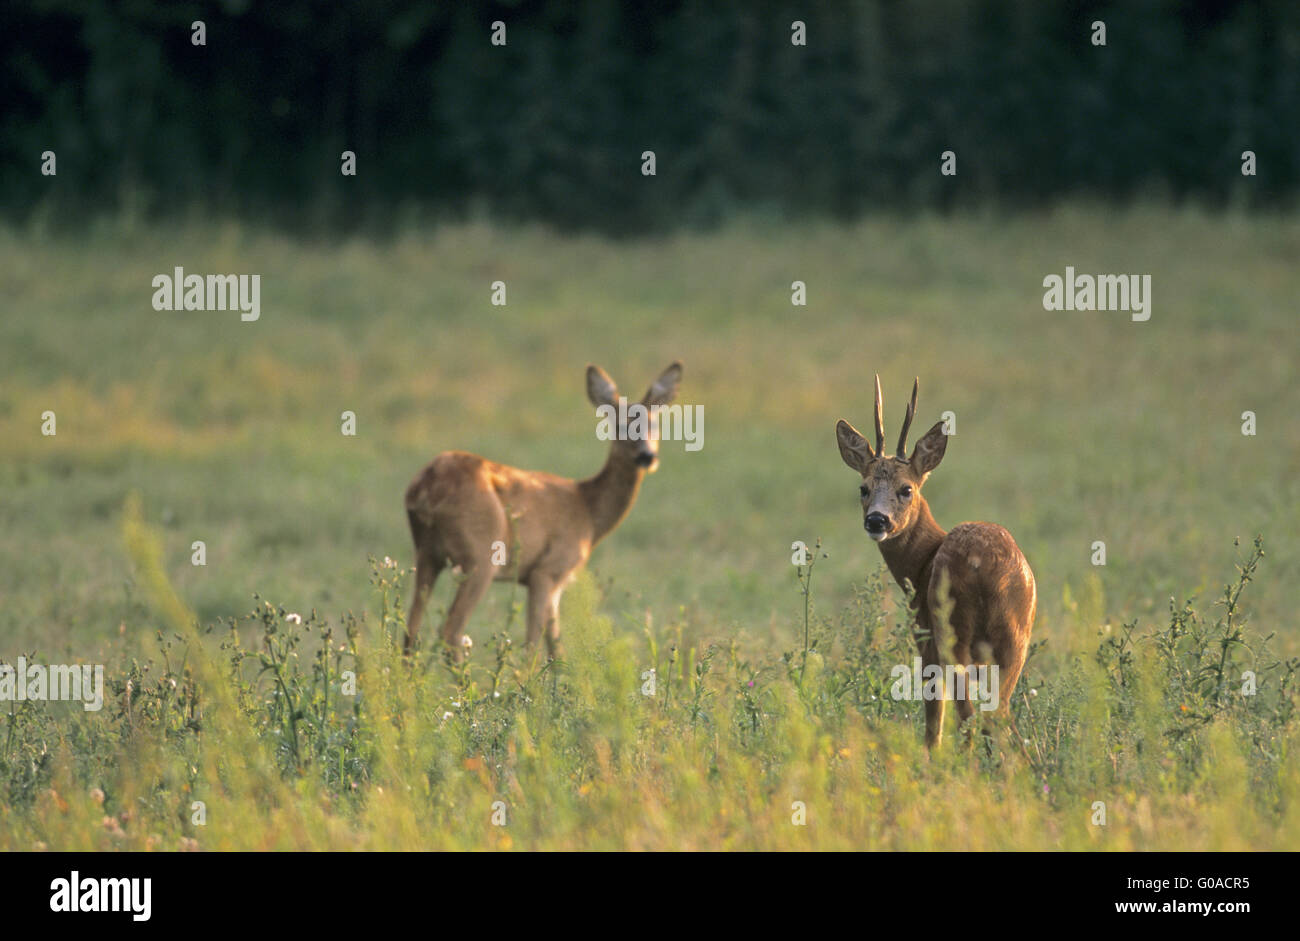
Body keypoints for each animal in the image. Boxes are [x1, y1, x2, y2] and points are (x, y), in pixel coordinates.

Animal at [403, 362, 683, 662]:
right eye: (620, 425)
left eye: (656, 424)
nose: (647, 456)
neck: (588, 510)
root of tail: (424, 490)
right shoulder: (547, 570)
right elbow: (533, 647)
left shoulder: (552, 581)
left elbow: (557, 650)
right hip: (479, 556)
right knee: (450, 631)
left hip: (427, 553)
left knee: (411, 628)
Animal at [835, 376, 1035, 749]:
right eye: (863, 488)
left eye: (906, 489)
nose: (877, 520)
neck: (921, 563)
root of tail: (987, 570)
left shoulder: (925, 641)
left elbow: (933, 724)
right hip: (1016, 635)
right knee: (999, 716)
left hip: (952, 632)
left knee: (970, 716)